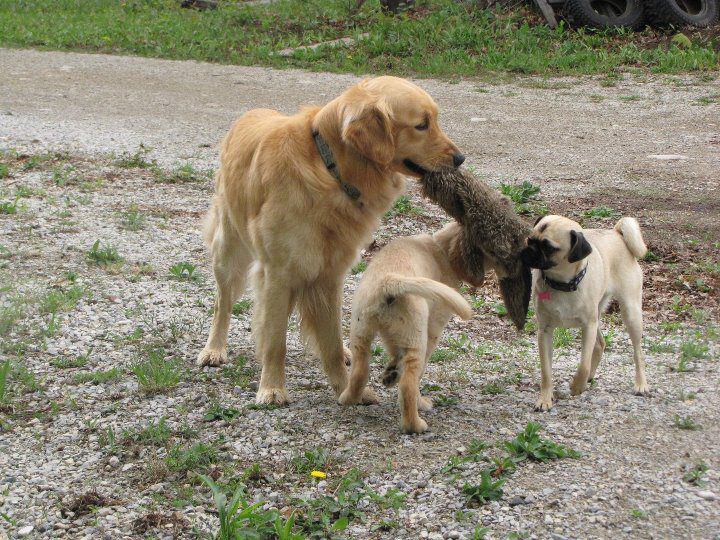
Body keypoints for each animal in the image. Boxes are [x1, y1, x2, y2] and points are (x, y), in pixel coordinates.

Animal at [200, 76, 464, 404]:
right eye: (422, 125)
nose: (460, 159)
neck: (330, 168)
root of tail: (250, 113)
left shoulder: (330, 275)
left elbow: (332, 343)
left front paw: (347, 387)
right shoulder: (277, 273)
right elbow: (275, 341)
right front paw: (272, 388)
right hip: (229, 251)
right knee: (222, 303)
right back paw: (214, 349)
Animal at [338, 221, 478, 432]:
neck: (439, 249)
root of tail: (390, 282)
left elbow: (395, 353)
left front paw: (391, 373)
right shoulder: (434, 328)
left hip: (360, 331)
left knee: (360, 372)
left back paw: (348, 398)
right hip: (416, 338)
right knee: (408, 385)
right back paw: (415, 425)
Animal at [520, 215, 648, 410]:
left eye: (548, 247)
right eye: (529, 239)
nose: (527, 251)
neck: (563, 283)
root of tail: (617, 233)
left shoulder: (588, 326)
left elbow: (584, 364)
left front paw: (576, 386)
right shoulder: (545, 331)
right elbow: (546, 372)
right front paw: (545, 399)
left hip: (630, 313)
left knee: (637, 352)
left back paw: (641, 384)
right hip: (598, 316)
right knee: (600, 344)